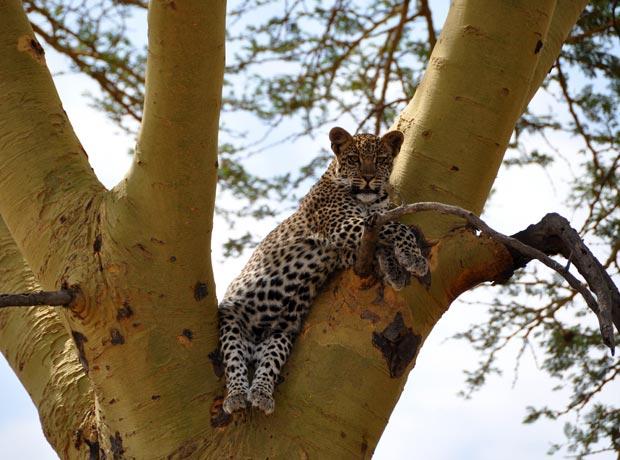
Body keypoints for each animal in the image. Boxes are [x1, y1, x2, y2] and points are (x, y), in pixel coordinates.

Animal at [219, 125, 432, 414]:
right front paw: (413, 258)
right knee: (234, 360)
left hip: (281, 334)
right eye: (353, 159)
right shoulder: (342, 224)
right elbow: (398, 227)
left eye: (380, 160)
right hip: (231, 319)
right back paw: (237, 395)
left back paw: (262, 393)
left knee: (269, 363)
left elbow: (381, 242)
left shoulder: (348, 247)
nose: (368, 178)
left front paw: (396, 269)